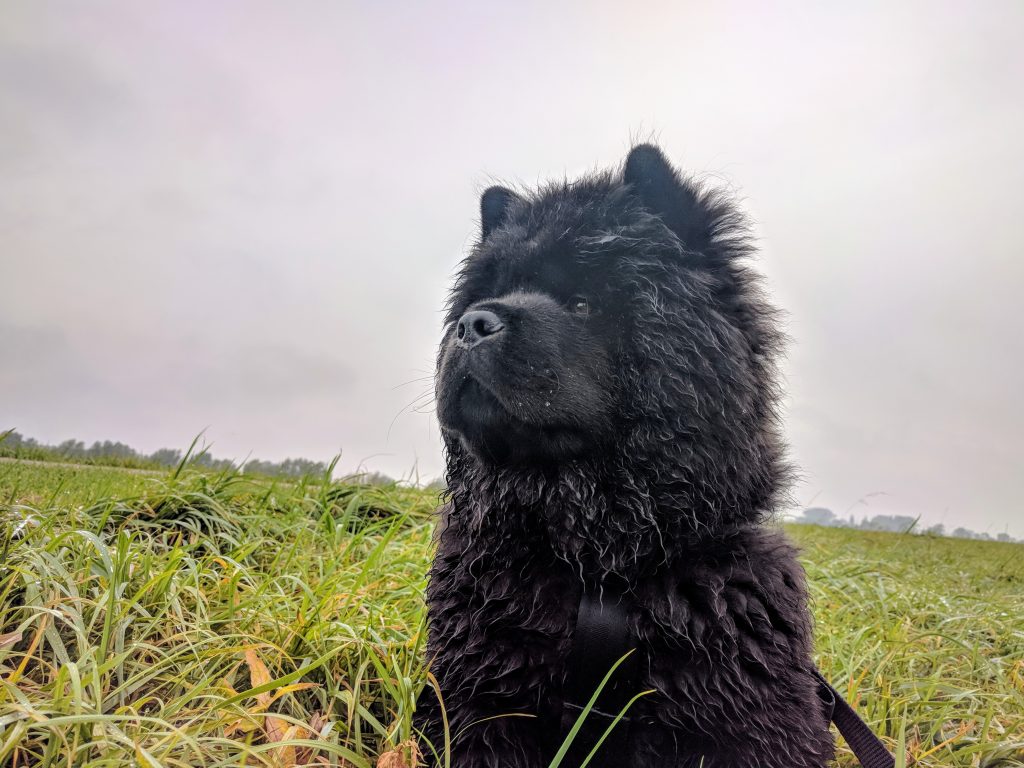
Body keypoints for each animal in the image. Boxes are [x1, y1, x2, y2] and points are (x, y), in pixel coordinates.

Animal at [415, 145, 831, 768]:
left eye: (582, 302)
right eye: (475, 300)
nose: (471, 323)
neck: (600, 559)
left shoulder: (748, 721)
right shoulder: (478, 702)